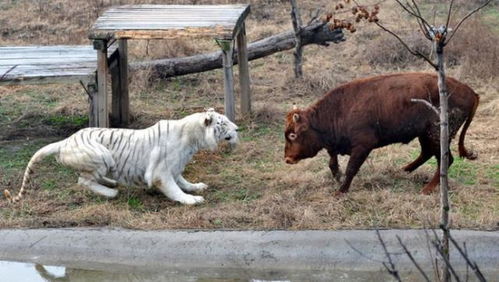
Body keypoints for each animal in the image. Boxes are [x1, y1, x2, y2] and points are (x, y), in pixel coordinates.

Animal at [3, 108, 238, 205]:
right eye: (223, 123)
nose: (237, 128)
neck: (193, 139)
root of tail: (66, 140)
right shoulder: (161, 172)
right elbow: (175, 189)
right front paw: (191, 200)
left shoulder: (175, 167)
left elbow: (183, 181)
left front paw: (197, 187)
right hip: (101, 155)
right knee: (82, 181)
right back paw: (110, 192)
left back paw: (110, 182)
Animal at [284, 72, 478, 194]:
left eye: (293, 135)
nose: (287, 158)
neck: (337, 110)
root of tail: (471, 92)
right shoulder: (335, 145)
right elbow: (332, 162)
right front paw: (338, 179)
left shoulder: (363, 146)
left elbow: (351, 168)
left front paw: (340, 191)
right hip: (424, 134)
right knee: (427, 153)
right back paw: (405, 170)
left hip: (437, 134)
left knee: (445, 159)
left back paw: (427, 189)